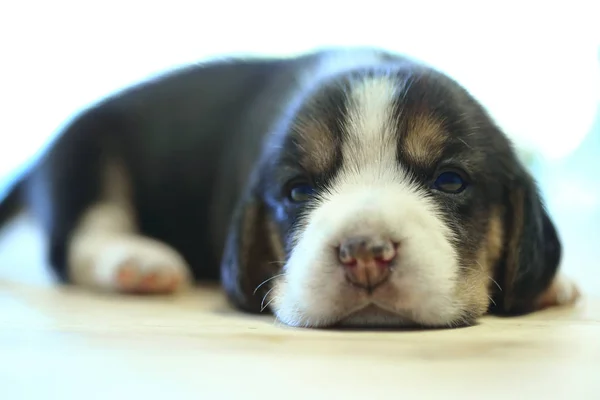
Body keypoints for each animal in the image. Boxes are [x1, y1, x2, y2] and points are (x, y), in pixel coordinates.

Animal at [1, 47, 580, 328]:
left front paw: (552, 283)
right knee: (78, 237)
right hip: (86, 154)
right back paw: (138, 262)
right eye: (298, 191)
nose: (364, 253)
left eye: (450, 180)